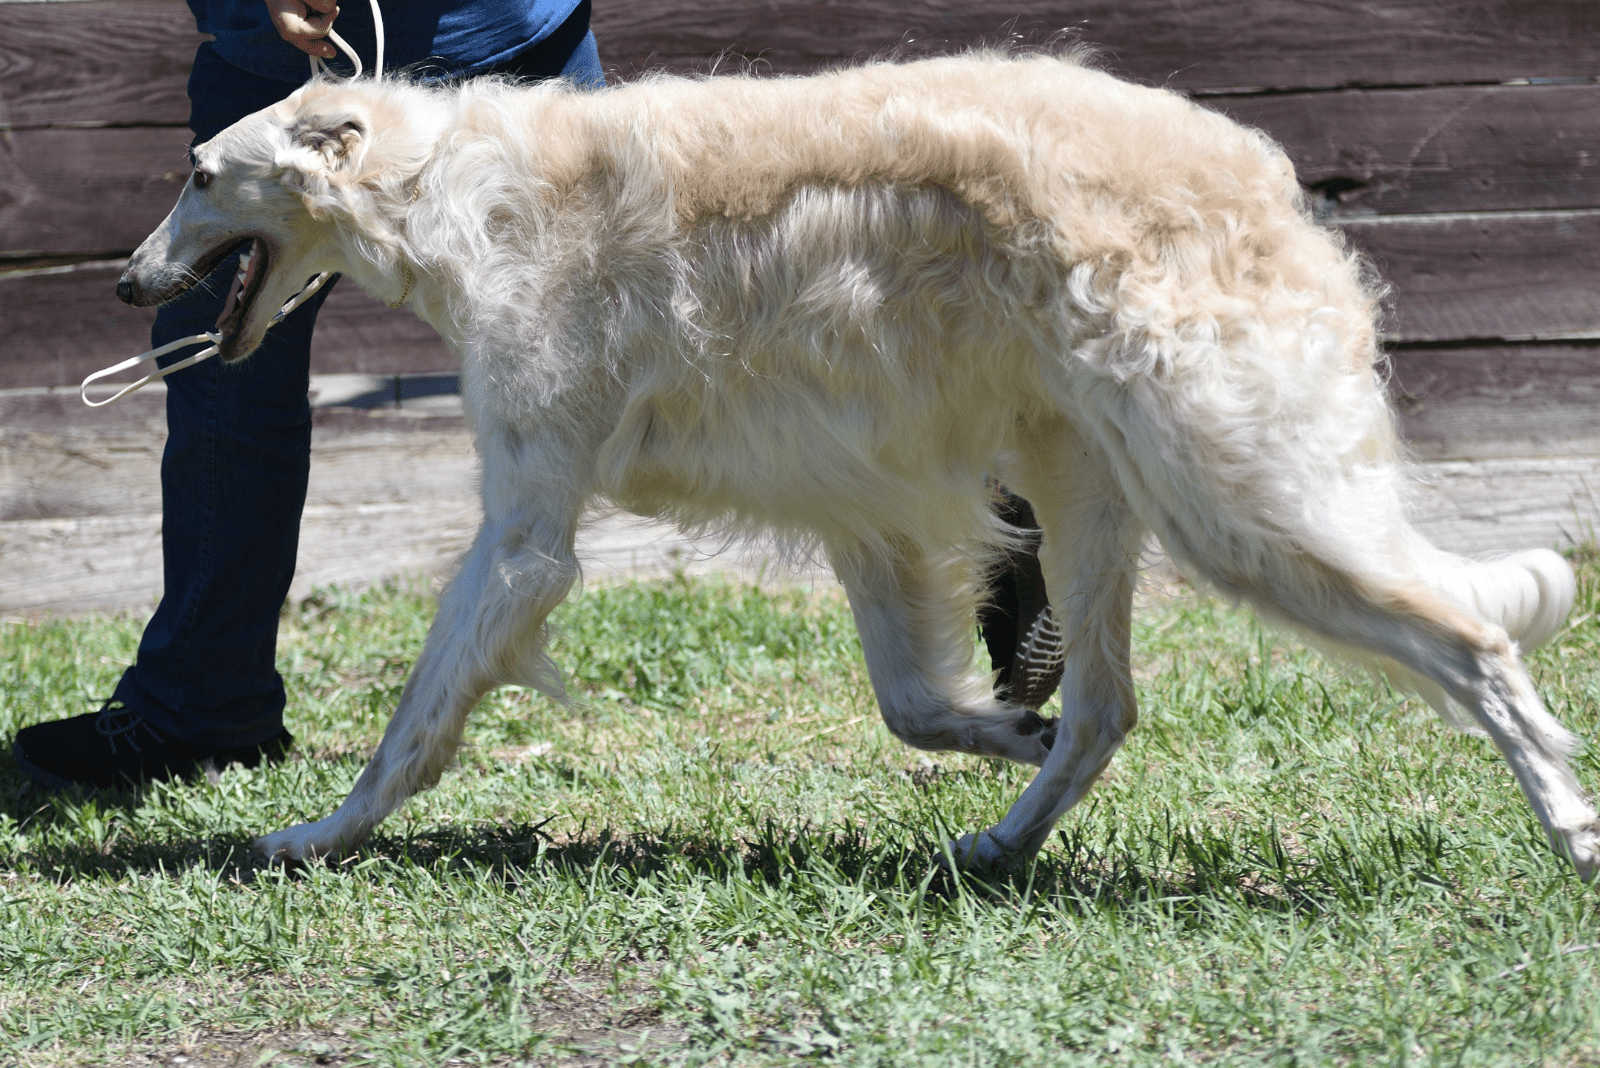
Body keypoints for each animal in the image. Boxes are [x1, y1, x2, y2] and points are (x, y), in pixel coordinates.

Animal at [118, 49, 1593, 876]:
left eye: (198, 171)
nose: (130, 284)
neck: (456, 192)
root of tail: (1264, 174)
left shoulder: (527, 531)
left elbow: (414, 724)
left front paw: (314, 837)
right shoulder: (861, 512)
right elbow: (915, 704)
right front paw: (999, 727)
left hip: (1237, 504)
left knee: (1475, 644)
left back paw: (1572, 832)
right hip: (1088, 488)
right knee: (1107, 709)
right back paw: (1003, 837)